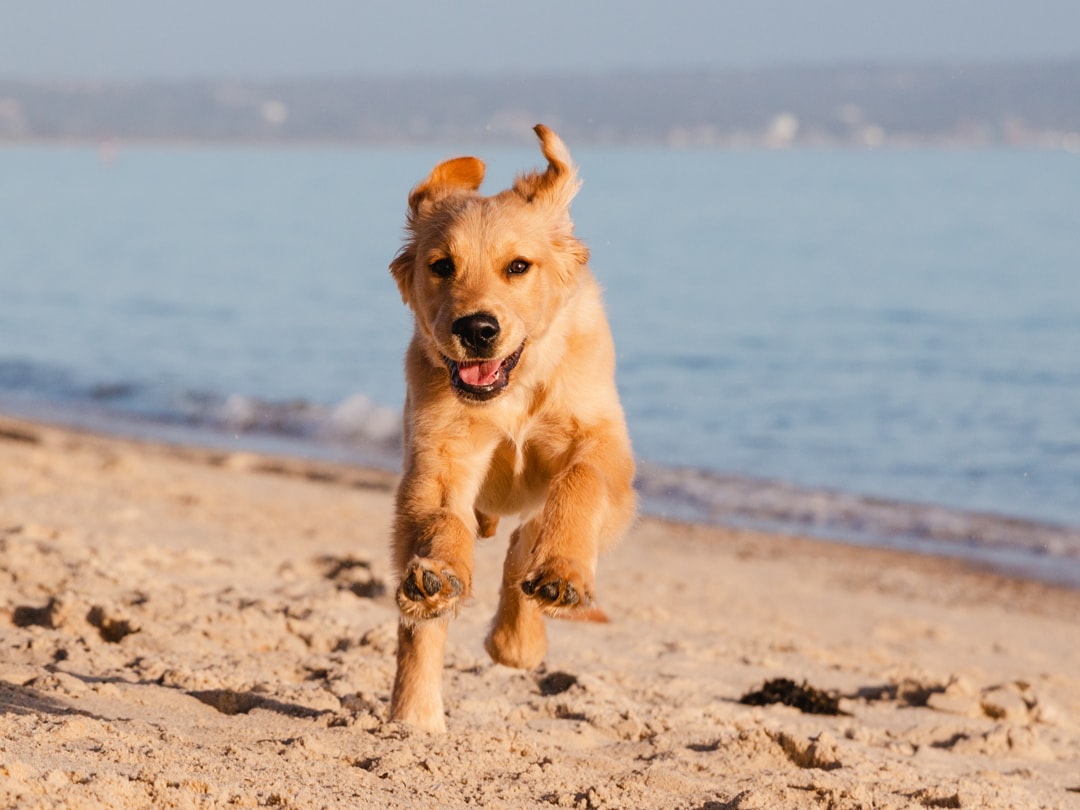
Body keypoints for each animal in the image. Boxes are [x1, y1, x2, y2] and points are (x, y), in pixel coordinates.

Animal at [388, 123, 635, 734]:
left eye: (518, 267)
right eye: (441, 266)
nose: (477, 329)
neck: (515, 389)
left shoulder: (608, 453)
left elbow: (579, 482)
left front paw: (562, 571)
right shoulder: (438, 455)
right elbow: (440, 522)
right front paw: (439, 572)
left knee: (524, 540)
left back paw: (518, 634)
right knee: (419, 627)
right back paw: (416, 714)